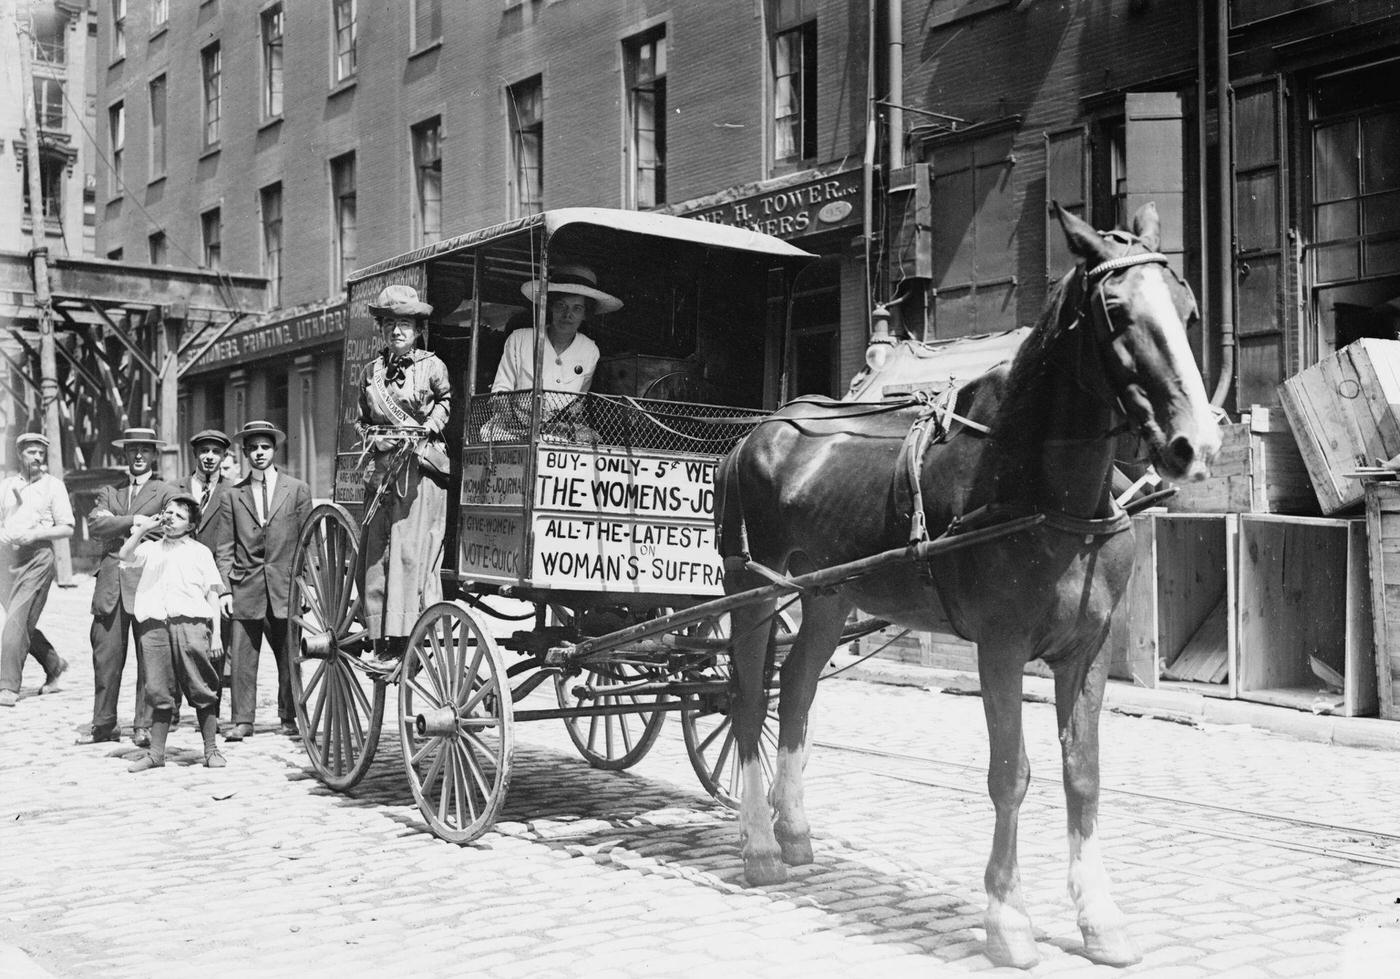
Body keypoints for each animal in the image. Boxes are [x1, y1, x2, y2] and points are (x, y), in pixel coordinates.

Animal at [716, 203, 1220, 969]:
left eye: (1188, 308)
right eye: (1114, 311)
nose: (1196, 444)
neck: (1046, 492)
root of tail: (756, 432)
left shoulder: (1086, 653)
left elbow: (1083, 776)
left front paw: (1100, 919)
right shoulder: (1001, 649)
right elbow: (1010, 774)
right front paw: (1007, 920)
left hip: (829, 597)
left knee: (796, 693)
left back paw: (795, 831)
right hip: (752, 590)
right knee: (749, 703)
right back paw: (759, 846)